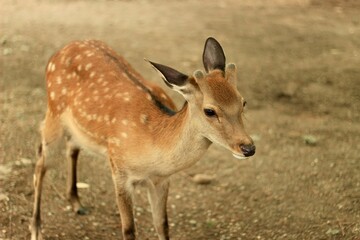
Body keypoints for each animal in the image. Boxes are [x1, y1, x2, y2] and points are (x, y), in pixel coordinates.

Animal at [30, 37, 256, 240]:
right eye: (209, 111)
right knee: (40, 162)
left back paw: (76, 203)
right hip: (53, 112)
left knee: (72, 147)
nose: (248, 148)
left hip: (77, 128)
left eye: (243, 102)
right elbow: (129, 229)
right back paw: (36, 230)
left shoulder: (162, 180)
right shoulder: (118, 169)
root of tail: (60, 51)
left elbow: (162, 225)